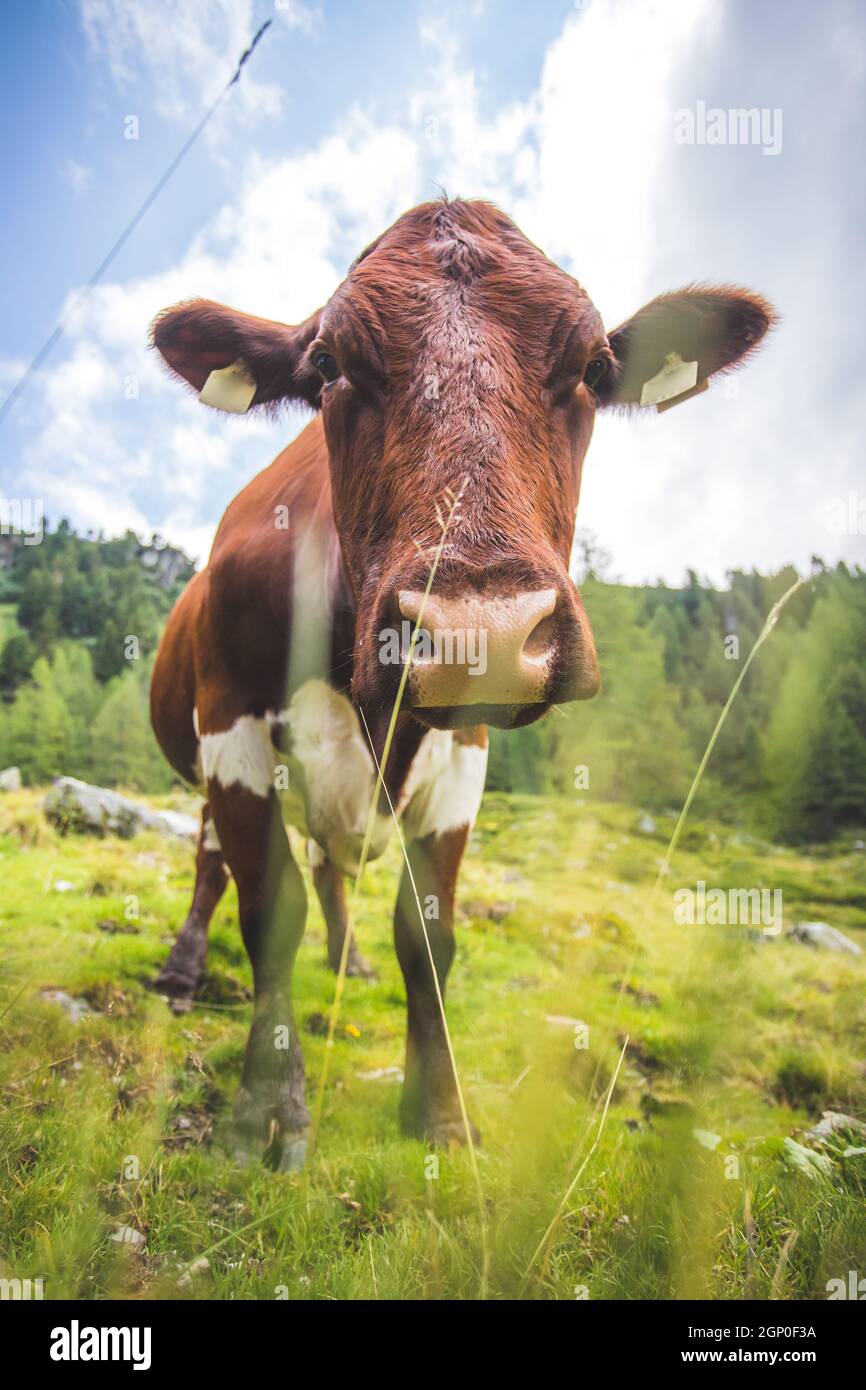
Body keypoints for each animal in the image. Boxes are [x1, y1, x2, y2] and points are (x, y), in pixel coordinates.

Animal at [149, 197, 774, 1169]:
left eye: (594, 367)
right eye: (327, 365)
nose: (485, 633)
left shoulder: (464, 755)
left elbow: (428, 935)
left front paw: (440, 1110)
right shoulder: (232, 729)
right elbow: (269, 910)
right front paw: (263, 1111)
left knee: (330, 865)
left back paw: (350, 959)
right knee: (213, 861)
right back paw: (183, 968)